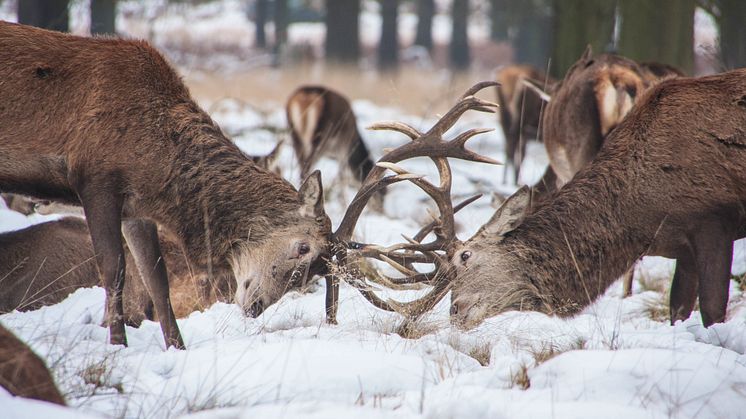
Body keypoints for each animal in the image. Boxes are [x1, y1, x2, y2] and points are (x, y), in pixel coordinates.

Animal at [0, 22, 332, 352]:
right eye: (303, 248)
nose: (256, 306)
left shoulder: (136, 207)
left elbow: (156, 280)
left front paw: (177, 347)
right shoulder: (96, 181)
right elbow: (113, 269)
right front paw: (118, 345)